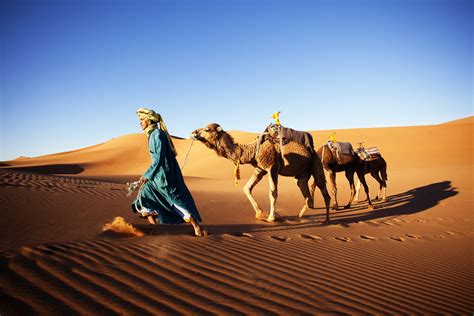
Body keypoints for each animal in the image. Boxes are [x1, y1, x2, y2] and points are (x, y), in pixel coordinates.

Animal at [191, 123, 332, 222]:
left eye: (207, 129)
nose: (193, 132)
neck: (252, 151)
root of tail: (311, 149)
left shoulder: (272, 167)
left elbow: (273, 193)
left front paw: (271, 217)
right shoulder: (260, 169)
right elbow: (246, 188)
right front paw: (260, 213)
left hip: (316, 163)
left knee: (324, 190)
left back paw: (326, 220)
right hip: (302, 175)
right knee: (305, 192)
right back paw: (300, 217)